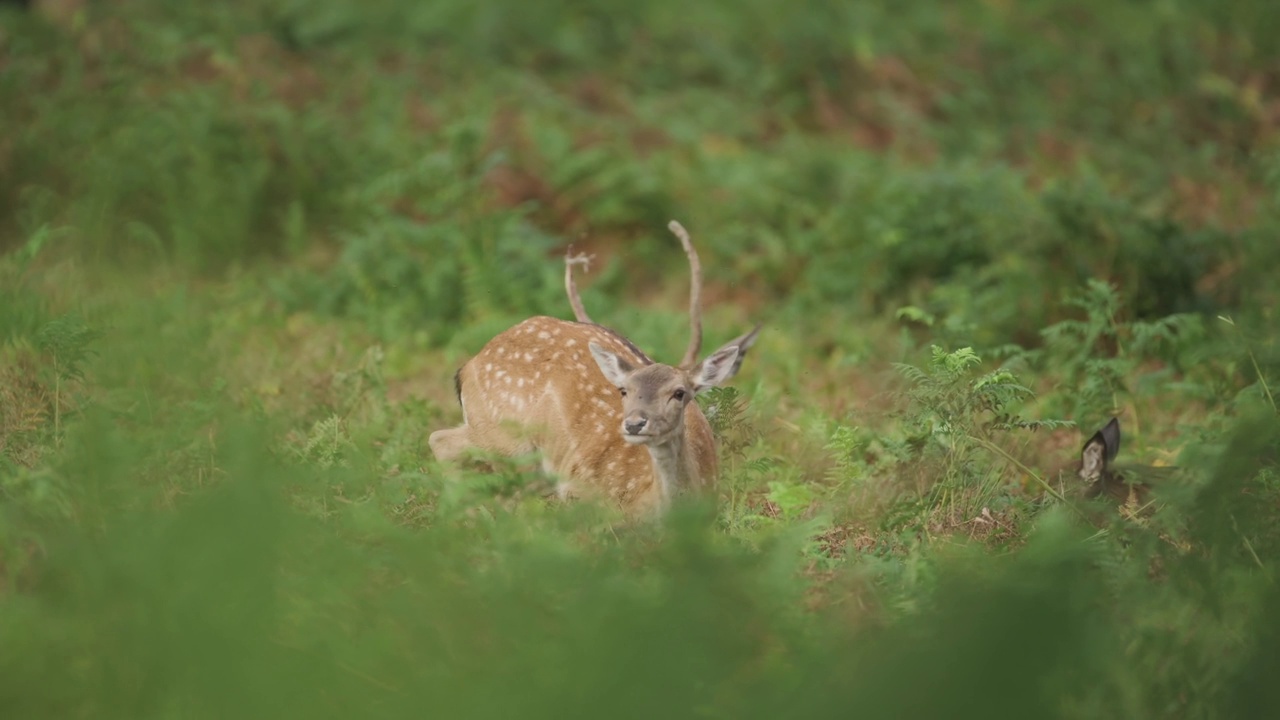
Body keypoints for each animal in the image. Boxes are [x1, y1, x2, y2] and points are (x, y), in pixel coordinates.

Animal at [430, 220, 757, 515]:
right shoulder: (581, 492)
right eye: (623, 391)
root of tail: (469, 365)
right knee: (443, 443)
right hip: (503, 437)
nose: (634, 424)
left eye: (679, 393)